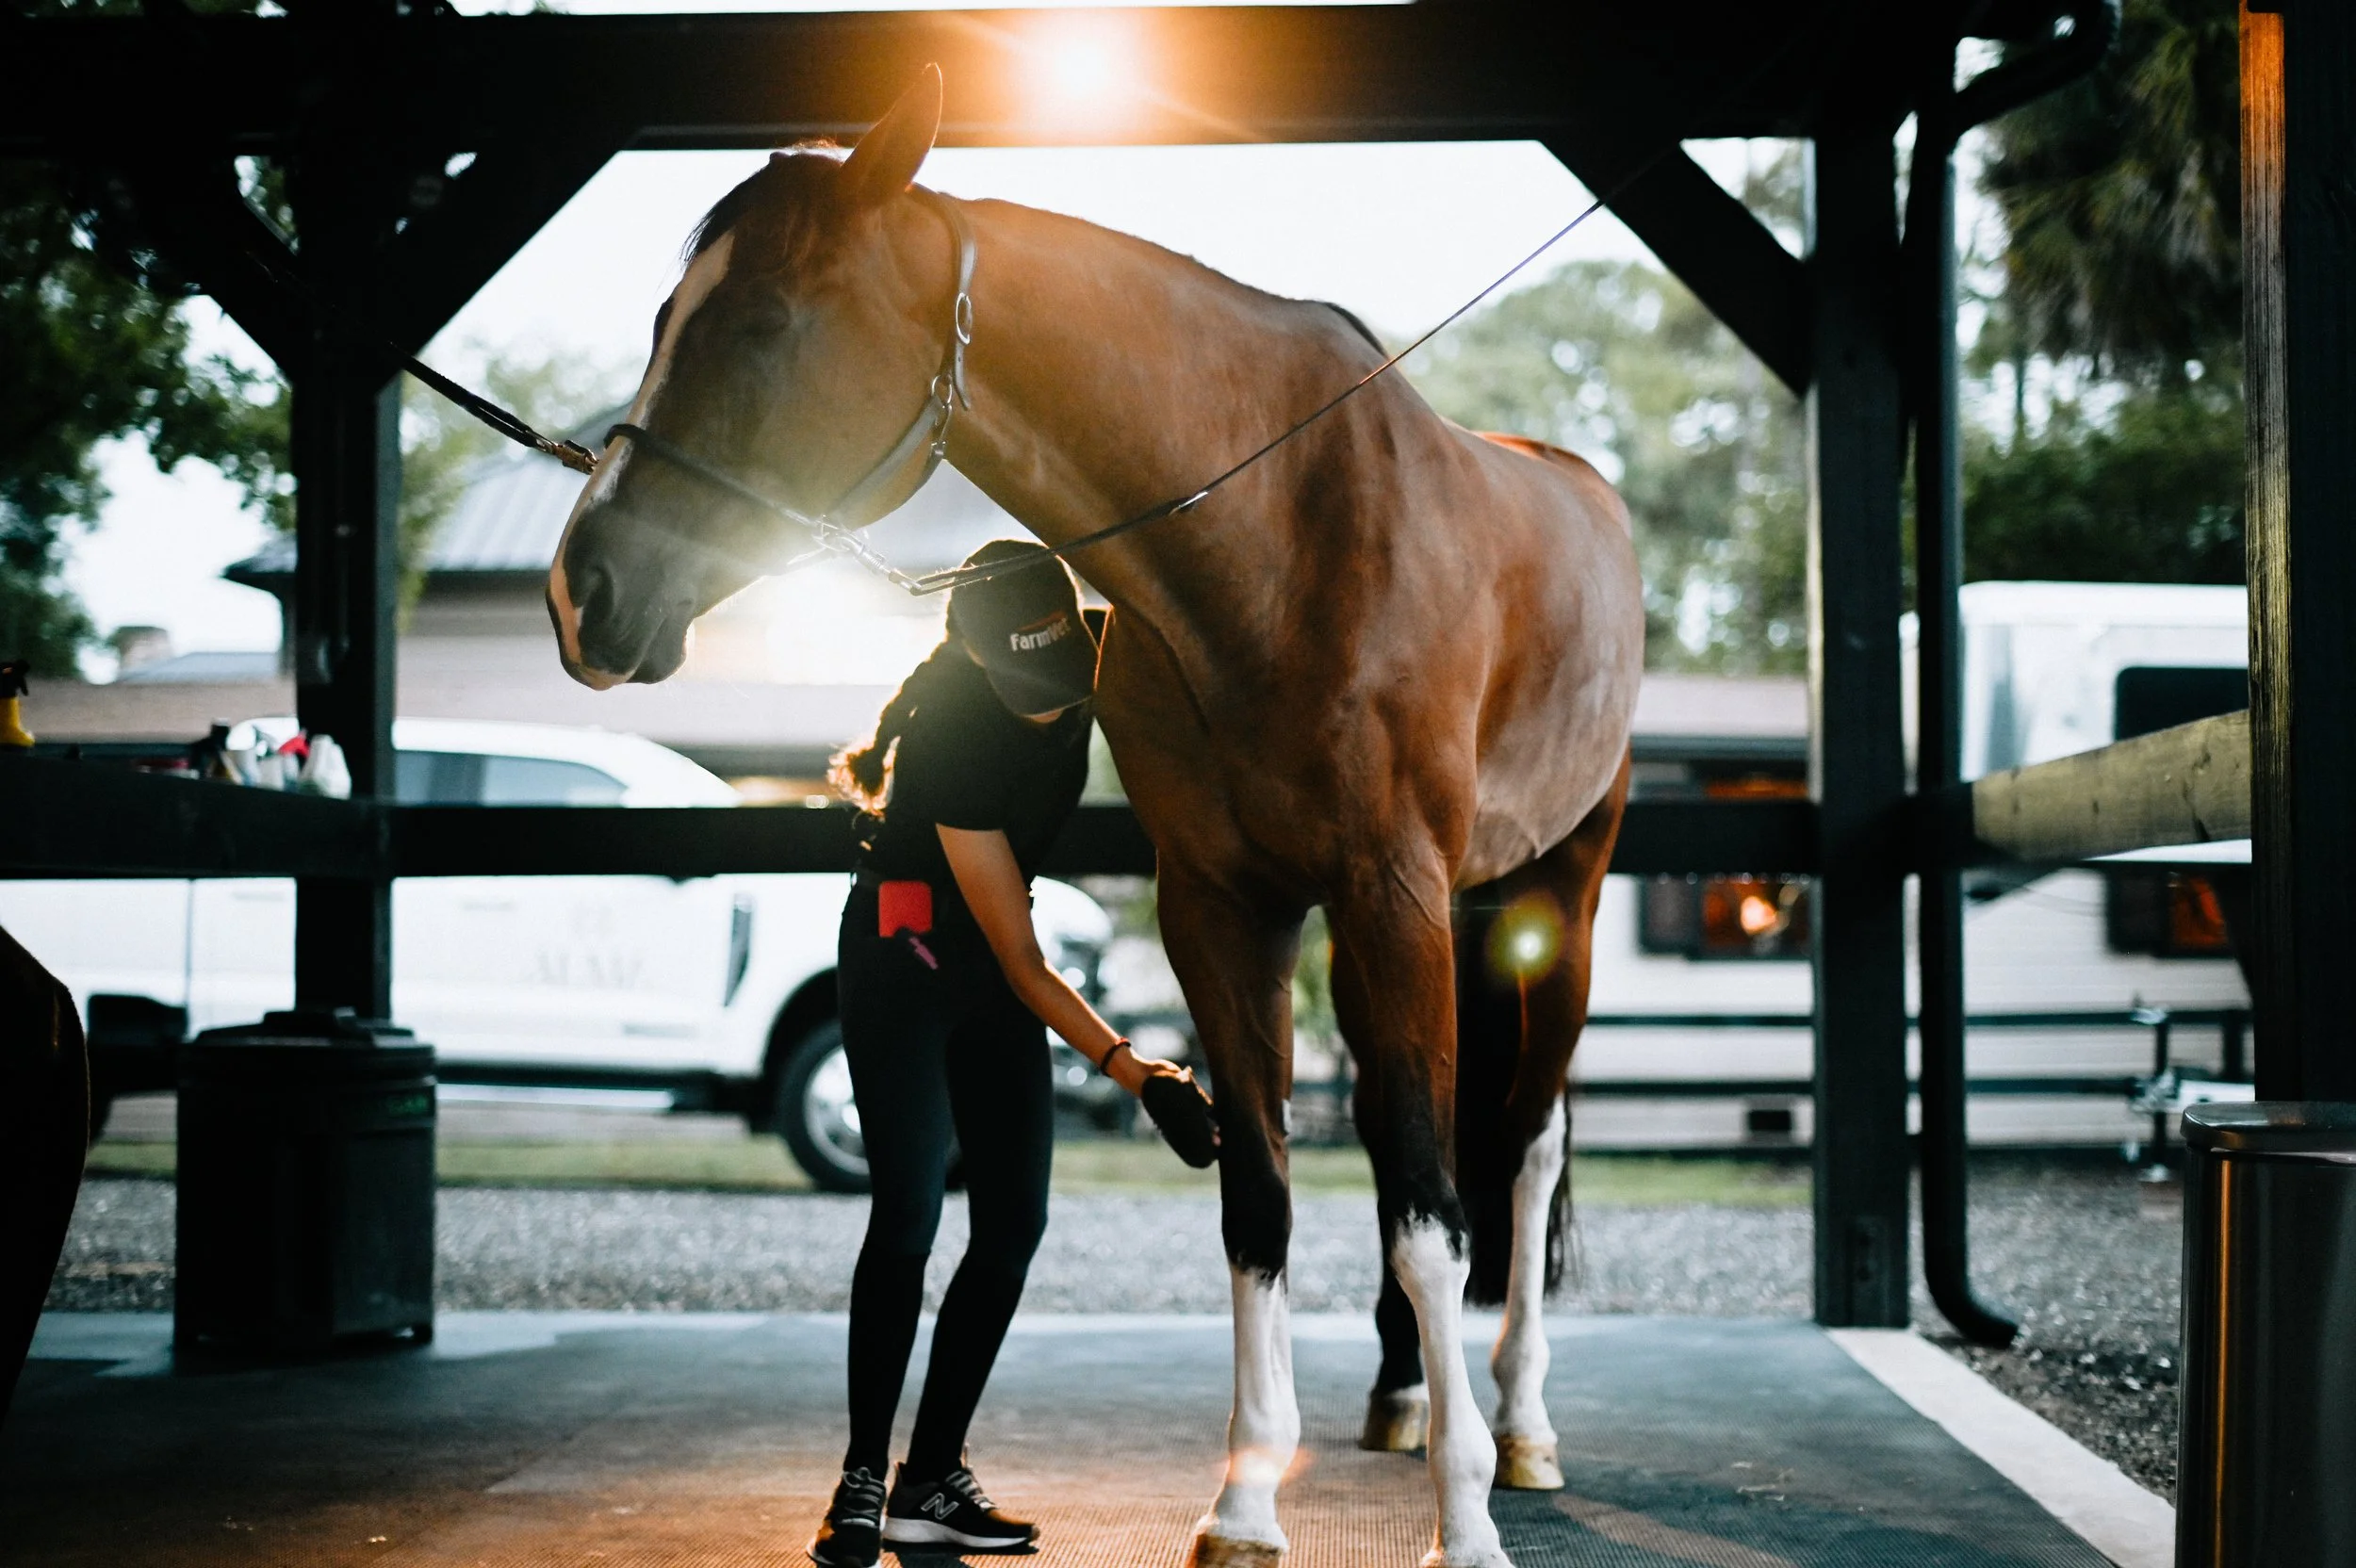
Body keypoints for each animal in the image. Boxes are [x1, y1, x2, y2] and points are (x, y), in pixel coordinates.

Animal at [545, 69, 1641, 1568]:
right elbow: (1264, 1189)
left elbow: (1432, 1211)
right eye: (666, 319)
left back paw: (1520, 1424)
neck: (1277, 538)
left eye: (763, 320)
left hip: (1554, 895)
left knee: (1523, 1150)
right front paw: (1245, 1499)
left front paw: (1463, 1520)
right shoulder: (1224, 910)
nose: (582, 588)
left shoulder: (1389, 893)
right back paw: (1405, 1397)